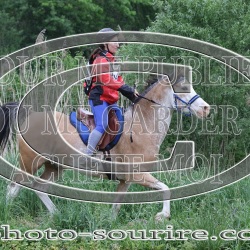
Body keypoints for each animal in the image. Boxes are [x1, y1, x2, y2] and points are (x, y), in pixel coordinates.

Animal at [0, 75, 211, 221]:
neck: (142, 127)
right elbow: (166, 188)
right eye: (183, 89)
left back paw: (56, 214)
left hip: (55, 166)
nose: (206, 109)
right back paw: (7, 214)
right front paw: (163, 216)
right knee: (14, 187)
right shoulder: (138, 175)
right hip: (29, 163)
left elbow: (117, 204)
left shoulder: (125, 180)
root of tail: (27, 117)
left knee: (39, 187)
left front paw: (109, 224)